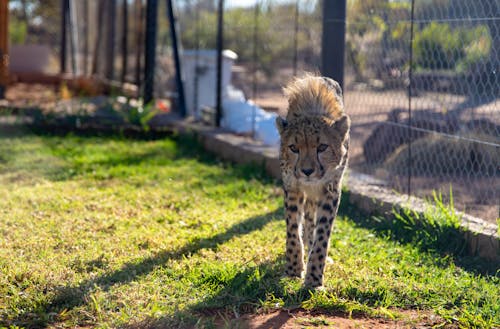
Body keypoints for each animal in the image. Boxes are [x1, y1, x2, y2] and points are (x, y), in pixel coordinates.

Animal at [276, 74, 350, 288]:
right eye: (293, 148)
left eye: (322, 147)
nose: (307, 171)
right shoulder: (293, 187)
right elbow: (293, 229)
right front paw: (294, 268)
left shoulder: (331, 189)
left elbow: (322, 234)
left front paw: (314, 277)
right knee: (308, 219)